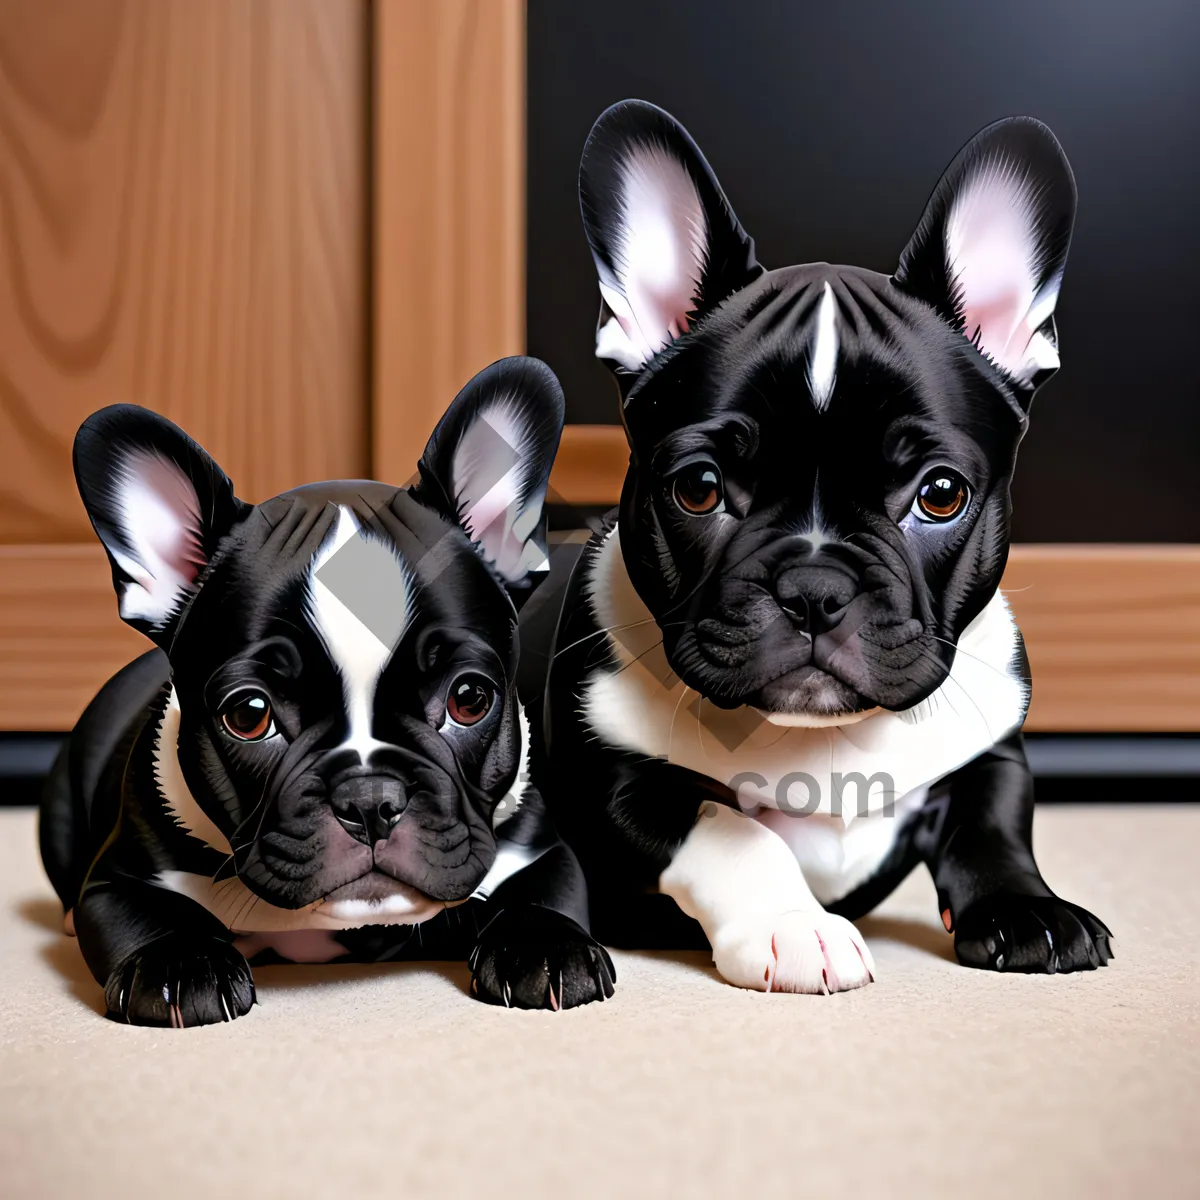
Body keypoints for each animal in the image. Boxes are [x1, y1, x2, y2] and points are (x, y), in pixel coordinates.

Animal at [41, 352, 614, 1022]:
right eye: (249, 714)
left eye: (469, 700)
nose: (371, 799)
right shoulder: (118, 879)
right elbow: (147, 913)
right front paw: (179, 964)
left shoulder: (539, 852)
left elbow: (544, 891)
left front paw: (545, 946)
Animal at [540, 100, 1108, 993]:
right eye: (699, 488)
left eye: (940, 495)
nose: (814, 587)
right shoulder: (613, 785)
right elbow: (729, 828)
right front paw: (793, 927)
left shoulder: (993, 754)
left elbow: (994, 828)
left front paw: (1029, 911)